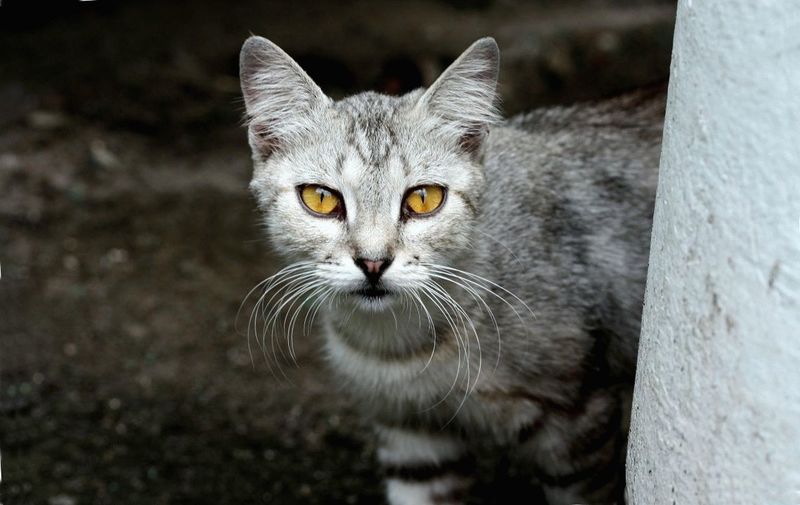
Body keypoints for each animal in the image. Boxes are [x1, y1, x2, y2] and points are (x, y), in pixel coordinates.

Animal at [238, 36, 664, 504]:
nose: (373, 261)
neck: (403, 346)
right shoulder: (413, 438)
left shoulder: (578, 425)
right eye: (320, 198)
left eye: (424, 198)